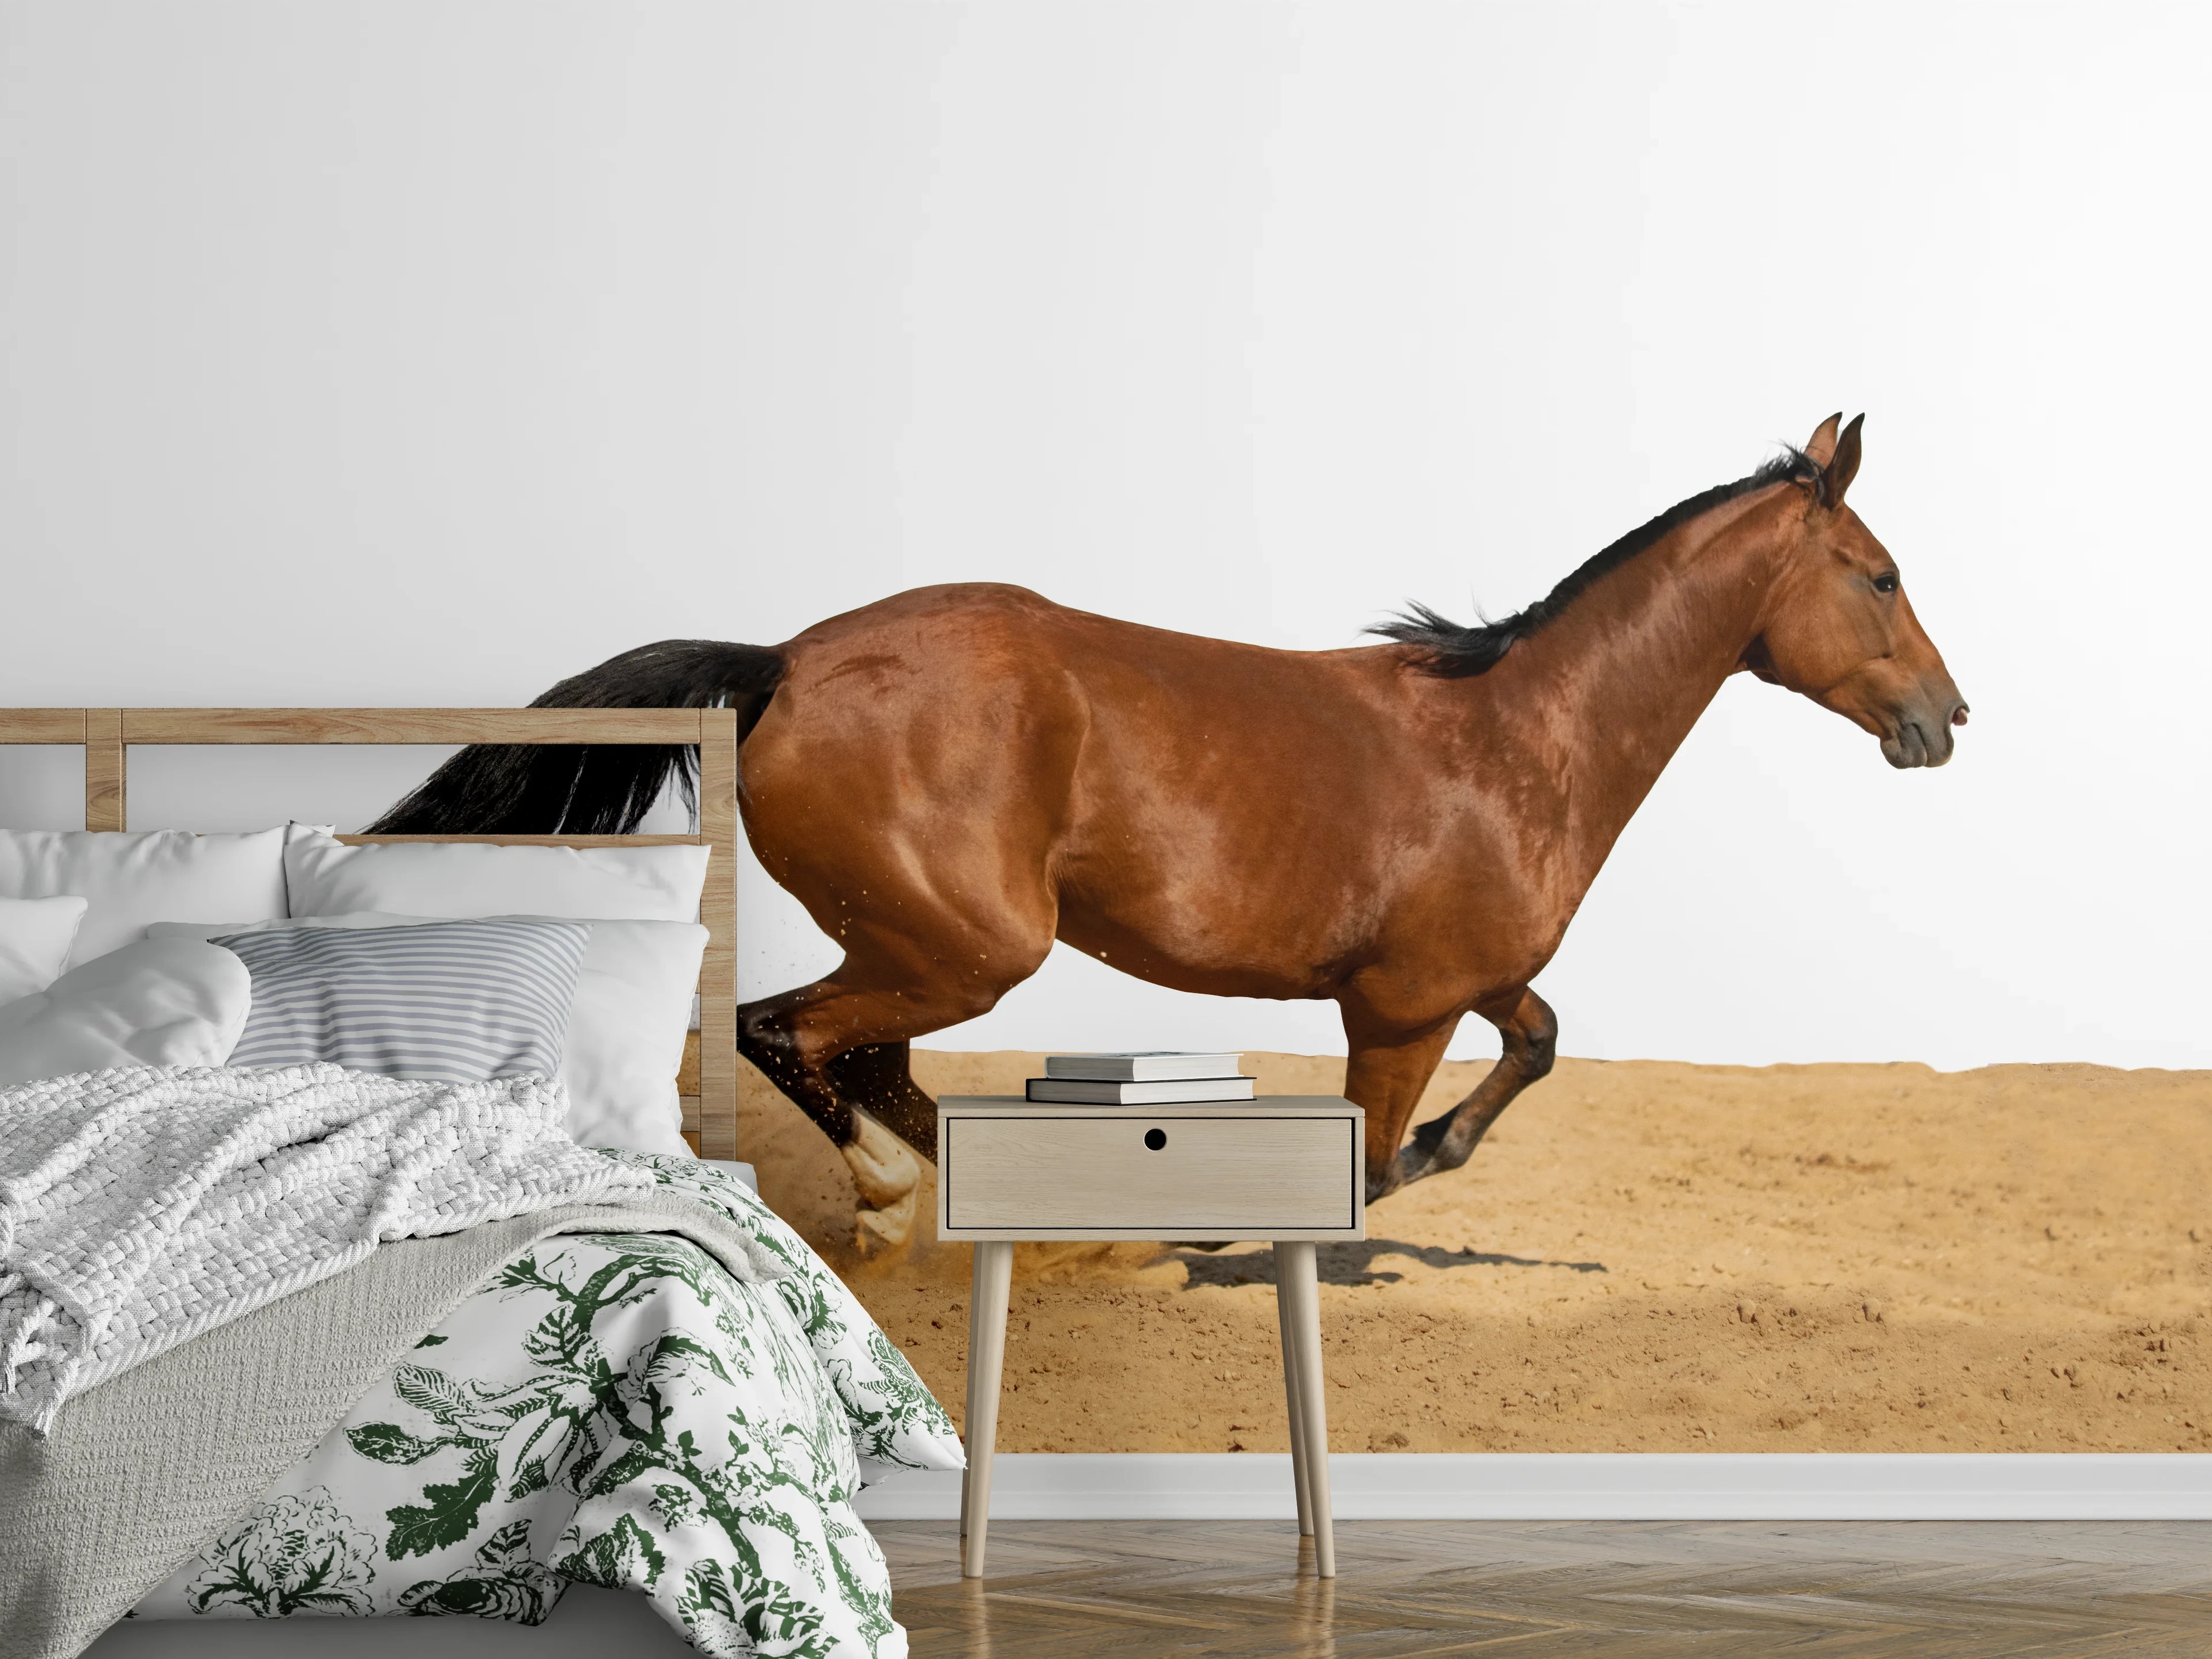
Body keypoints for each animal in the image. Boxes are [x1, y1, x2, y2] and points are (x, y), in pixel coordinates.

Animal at [373, 414, 1967, 1249]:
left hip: (922, 949)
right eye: (1879, 575)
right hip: (960, 949)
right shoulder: (1397, 1008)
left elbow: (1539, 1042)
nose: (1945, 718)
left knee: (865, 1060)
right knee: (794, 1035)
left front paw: (1432, 1157)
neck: (1516, 738)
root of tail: (783, 663)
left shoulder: (1460, 977)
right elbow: (1371, 1155)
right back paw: (895, 1201)